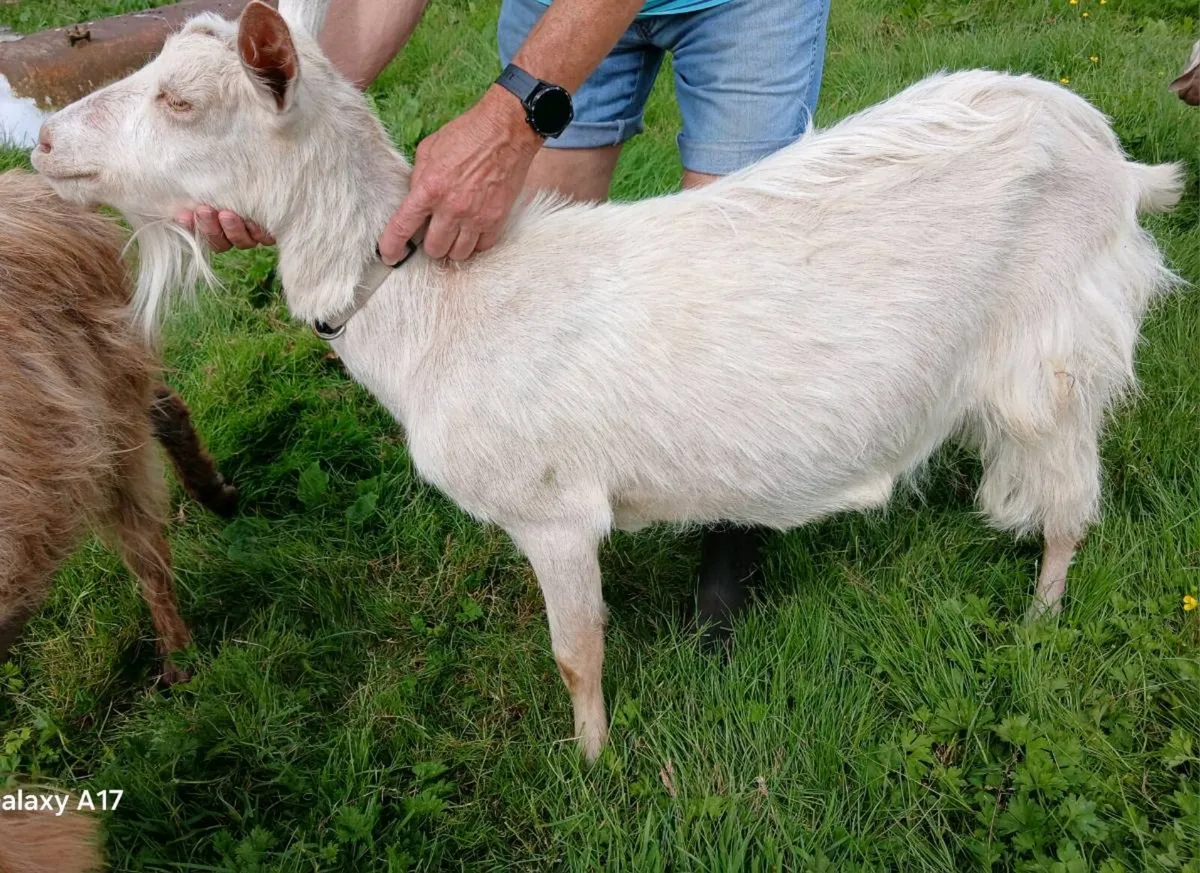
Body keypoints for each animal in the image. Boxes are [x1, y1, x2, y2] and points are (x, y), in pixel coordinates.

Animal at [32, 1, 1182, 759]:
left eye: (181, 99)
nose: (41, 138)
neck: (439, 307)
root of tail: (1116, 156)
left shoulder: (555, 510)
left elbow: (576, 652)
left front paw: (590, 761)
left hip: (1058, 348)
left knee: (1073, 504)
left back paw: (1040, 619)